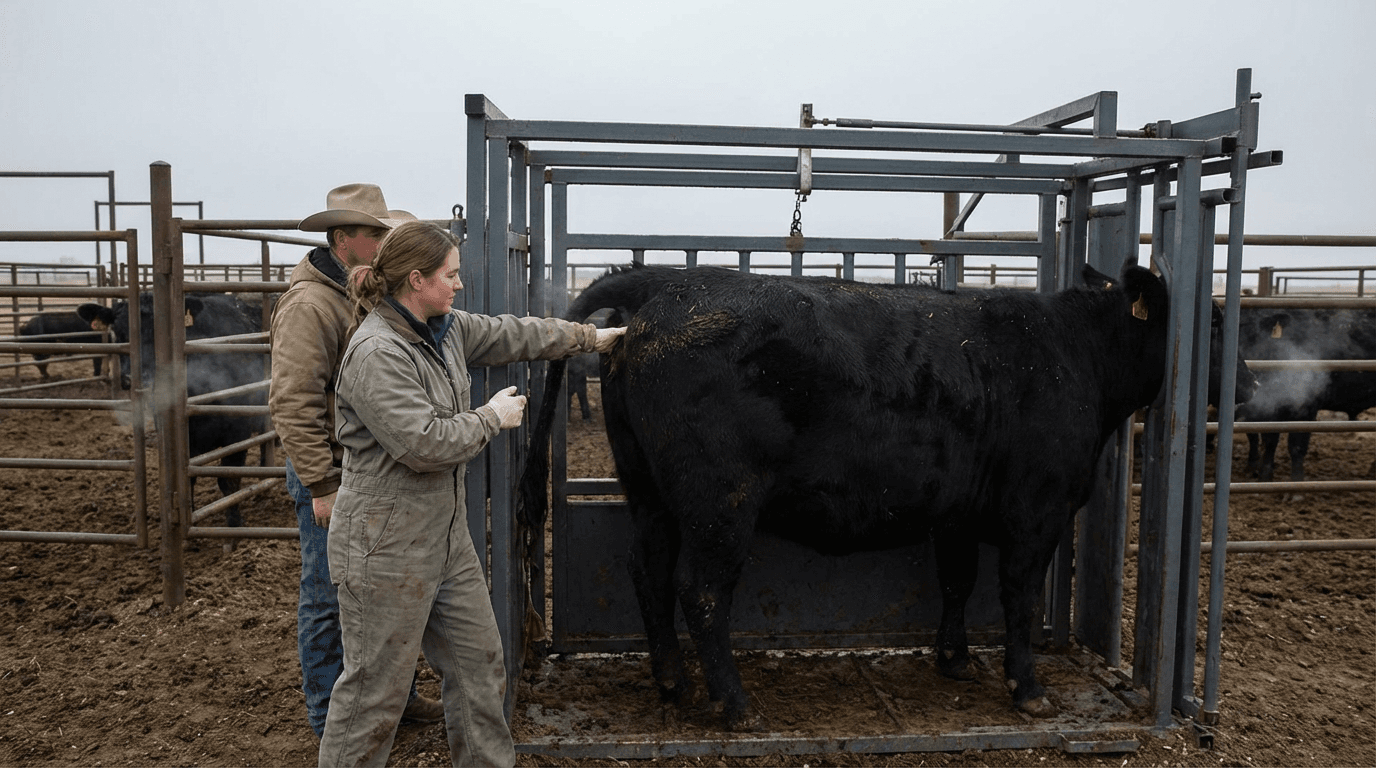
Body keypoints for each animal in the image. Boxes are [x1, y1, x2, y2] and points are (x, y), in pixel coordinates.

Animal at [78, 293, 267, 530]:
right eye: (118, 333)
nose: (133, 379)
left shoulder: (238, 431)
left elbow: (229, 480)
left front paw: (234, 525)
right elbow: (188, 481)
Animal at [520, 261, 1174, 728]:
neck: (1070, 354)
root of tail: (669, 286)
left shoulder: (957, 514)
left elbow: (957, 581)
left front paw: (955, 660)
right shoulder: (1037, 511)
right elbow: (1019, 598)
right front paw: (1028, 689)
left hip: (650, 494)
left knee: (649, 571)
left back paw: (672, 681)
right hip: (721, 503)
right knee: (701, 591)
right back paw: (735, 704)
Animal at [1236, 306, 1376, 482]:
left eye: (1252, 334)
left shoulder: (1306, 406)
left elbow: (1297, 446)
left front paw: (1295, 484)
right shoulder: (1270, 407)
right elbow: (1269, 441)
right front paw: (1264, 478)